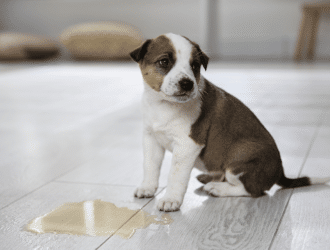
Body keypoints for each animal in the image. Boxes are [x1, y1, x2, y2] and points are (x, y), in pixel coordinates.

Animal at [130, 33, 330, 212]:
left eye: (195, 66)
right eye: (164, 62)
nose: (187, 83)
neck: (163, 104)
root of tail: (280, 171)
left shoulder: (188, 145)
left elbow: (175, 175)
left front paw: (171, 199)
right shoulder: (151, 138)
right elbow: (150, 166)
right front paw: (147, 187)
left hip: (239, 159)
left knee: (253, 190)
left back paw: (217, 188)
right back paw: (209, 179)